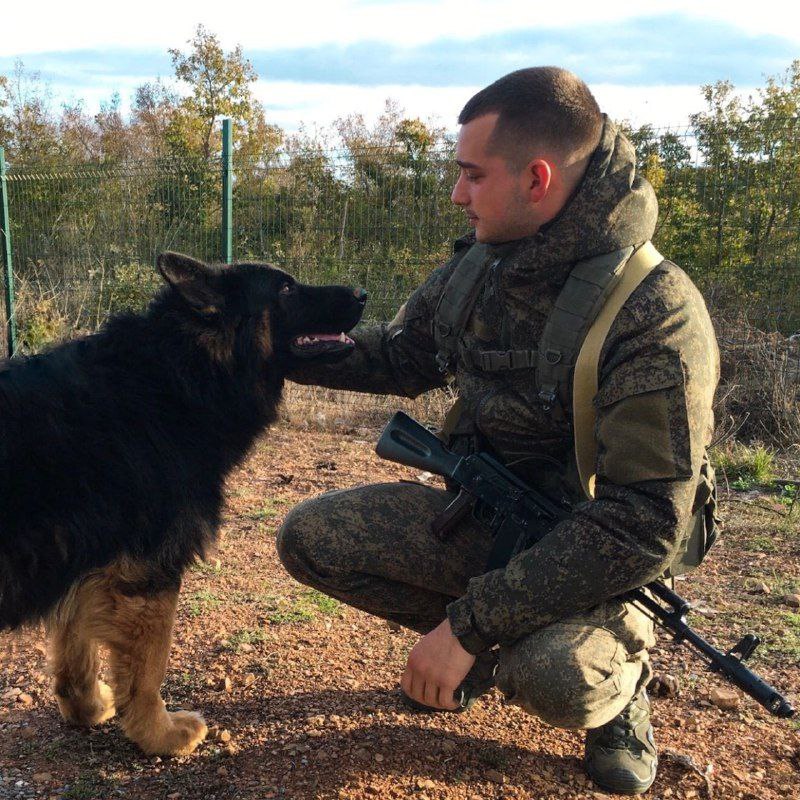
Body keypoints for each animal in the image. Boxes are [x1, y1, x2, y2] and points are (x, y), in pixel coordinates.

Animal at [0, 255, 366, 756]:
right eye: (286, 289)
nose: (363, 293)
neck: (178, 376)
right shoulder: (148, 573)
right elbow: (149, 669)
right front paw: (159, 733)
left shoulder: (88, 557)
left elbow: (76, 646)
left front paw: (86, 706)